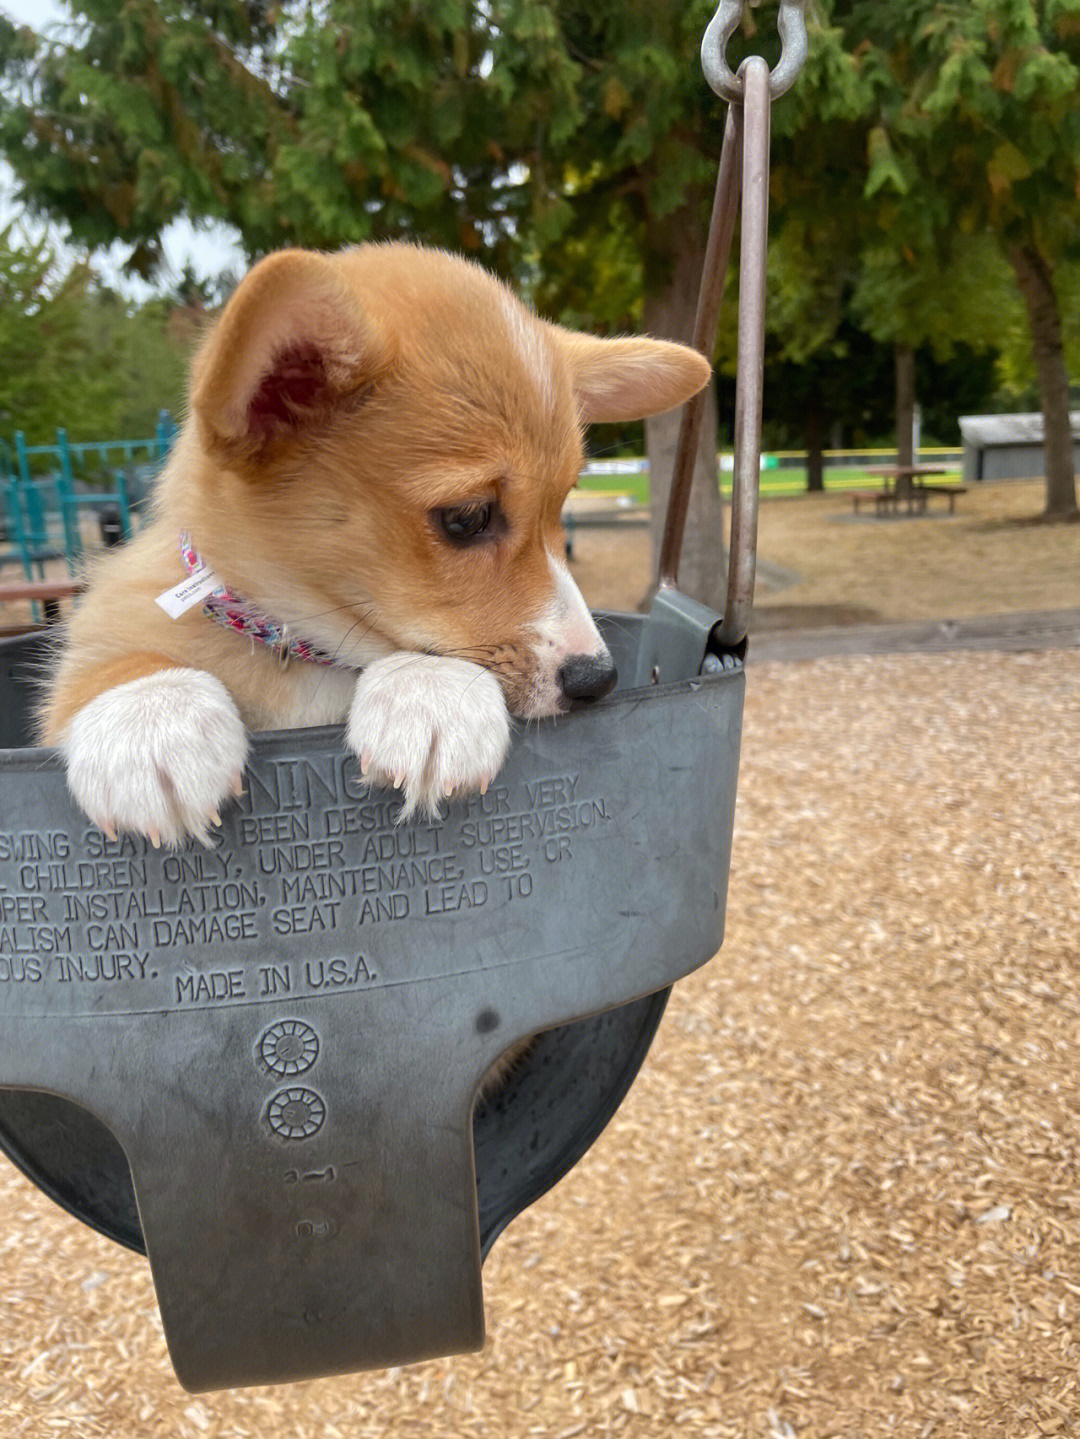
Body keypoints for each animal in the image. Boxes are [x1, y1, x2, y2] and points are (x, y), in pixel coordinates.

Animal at [40, 240, 710, 840]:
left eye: (562, 506)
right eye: (468, 517)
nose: (599, 680)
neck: (302, 652)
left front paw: (431, 693)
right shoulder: (114, 615)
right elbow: (113, 660)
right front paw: (149, 720)